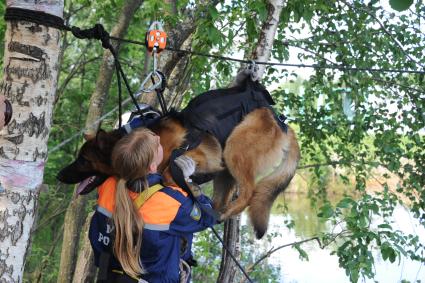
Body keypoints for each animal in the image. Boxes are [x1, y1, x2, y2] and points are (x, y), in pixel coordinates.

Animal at [58, 78, 300, 240]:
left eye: (83, 160)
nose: (59, 175)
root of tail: (281, 121)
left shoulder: (200, 156)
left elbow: (168, 171)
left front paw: (184, 184)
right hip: (225, 170)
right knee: (222, 198)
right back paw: (213, 210)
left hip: (234, 150)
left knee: (248, 193)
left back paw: (223, 211)